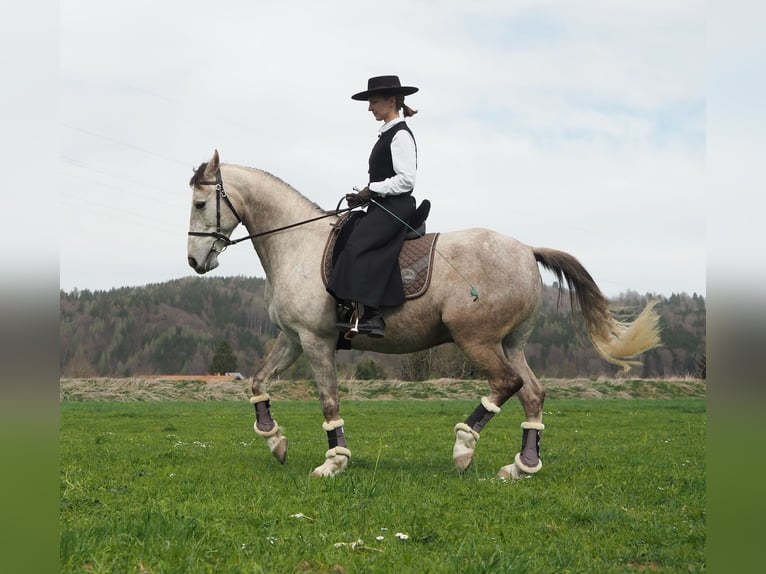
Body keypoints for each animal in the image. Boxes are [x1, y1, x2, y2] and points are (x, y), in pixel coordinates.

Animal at [187, 150, 661, 478]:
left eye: (199, 204)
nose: (194, 261)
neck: (297, 243)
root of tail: (527, 250)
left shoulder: (316, 340)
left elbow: (328, 399)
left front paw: (334, 461)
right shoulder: (292, 338)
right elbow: (258, 382)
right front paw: (275, 441)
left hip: (476, 339)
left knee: (507, 384)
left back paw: (464, 446)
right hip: (511, 342)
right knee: (533, 393)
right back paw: (522, 466)